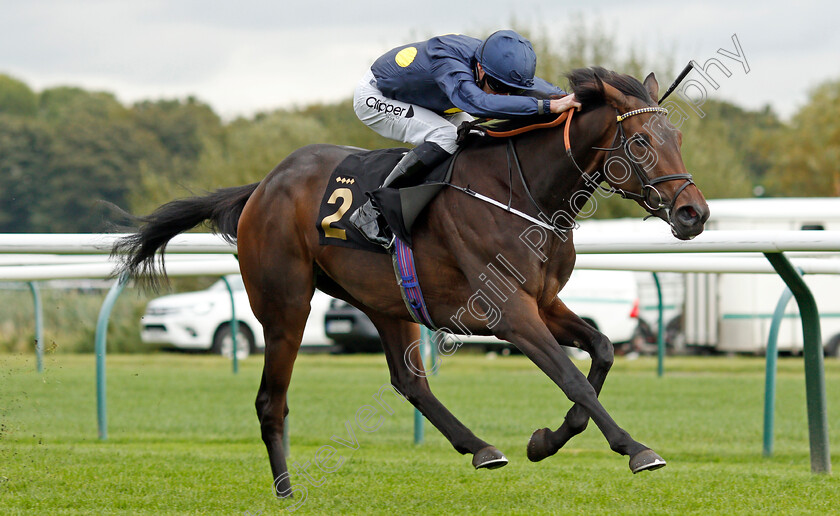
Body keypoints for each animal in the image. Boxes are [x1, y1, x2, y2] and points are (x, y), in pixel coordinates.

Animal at [111, 66, 708, 498]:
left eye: (678, 135)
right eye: (640, 142)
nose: (693, 214)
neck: (522, 193)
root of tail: (262, 186)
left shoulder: (544, 301)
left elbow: (602, 350)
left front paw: (545, 441)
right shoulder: (509, 313)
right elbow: (571, 377)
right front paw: (634, 448)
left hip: (387, 301)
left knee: (408, 381)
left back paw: (480, 447)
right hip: (285, 307)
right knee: (270, 400)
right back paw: (285, 489)